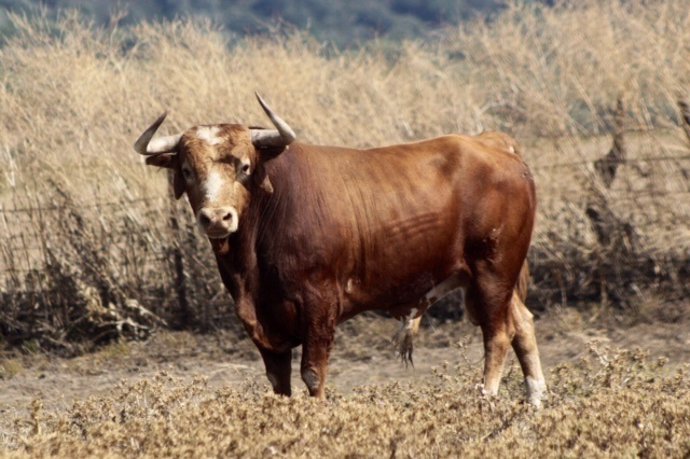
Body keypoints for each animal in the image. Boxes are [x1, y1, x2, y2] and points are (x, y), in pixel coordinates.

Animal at [133, 93, 544, 406]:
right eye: (188, 171)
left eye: (244, 166)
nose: (217, 217)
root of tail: (492, 143)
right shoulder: (261, 322)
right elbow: (279, 383)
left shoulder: (319, 304)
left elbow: (313, 374)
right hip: (490, 279)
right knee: (523, 325)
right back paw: (535, 403)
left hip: (493, 270)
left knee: (498, 335)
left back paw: (487, 400)